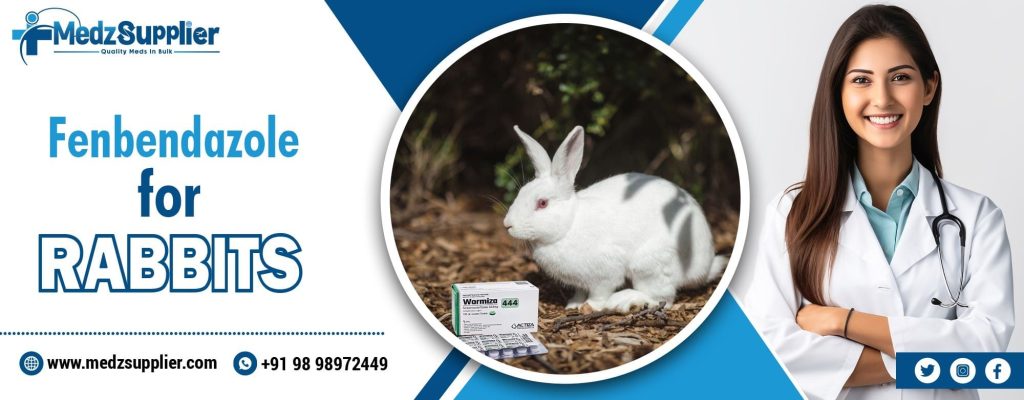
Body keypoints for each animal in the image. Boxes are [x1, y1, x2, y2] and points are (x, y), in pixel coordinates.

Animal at [503, 125, 729, 313]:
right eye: (521, 193)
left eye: (542, 203)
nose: (507, 225)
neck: (569, 225)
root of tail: (705, 266)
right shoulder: (579, 282)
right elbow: (579, 291)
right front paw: (573, 305)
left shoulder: (605, 274)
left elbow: (599, 293)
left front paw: (589, 307)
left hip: (650, 265)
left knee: (662, 298)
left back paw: (624, 301)